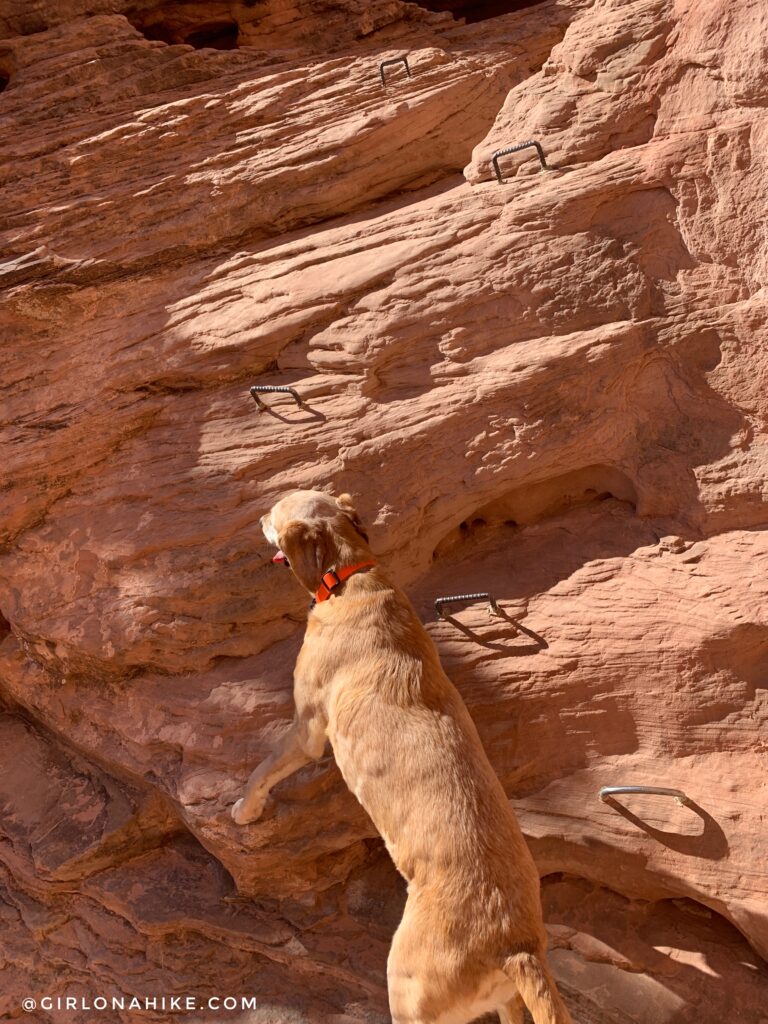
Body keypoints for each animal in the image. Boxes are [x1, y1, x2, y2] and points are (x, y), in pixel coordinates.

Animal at [231, 489, 573, 1024]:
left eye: (278, 512)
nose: (259, 515)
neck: (351, 579)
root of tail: (516, 947)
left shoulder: (307, 727)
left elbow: (264, 769)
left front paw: (244, 810)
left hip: (407, 988)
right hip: (503, 1000)